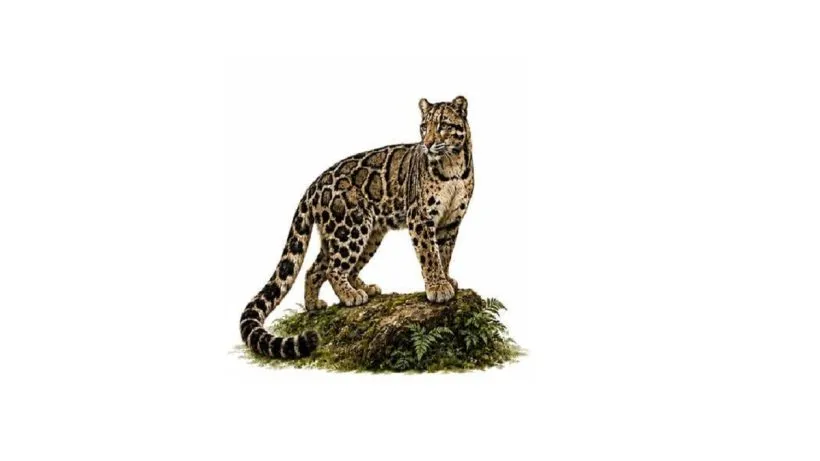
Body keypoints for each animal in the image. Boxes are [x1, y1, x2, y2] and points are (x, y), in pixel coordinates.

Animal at [239, 96, 474, 359]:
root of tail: (313, 185)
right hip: (350, 228)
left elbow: (444, 253)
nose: (428, 144)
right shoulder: (421, 218)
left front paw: (446, 280)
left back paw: (319, 303)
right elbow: (430, 256)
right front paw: (438, 287)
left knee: (316, 269)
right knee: (333, 269)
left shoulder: (451, 222)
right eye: (424, 127)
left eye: (443, 125)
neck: (453, 166)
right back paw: (351, 295)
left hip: (362, 234)